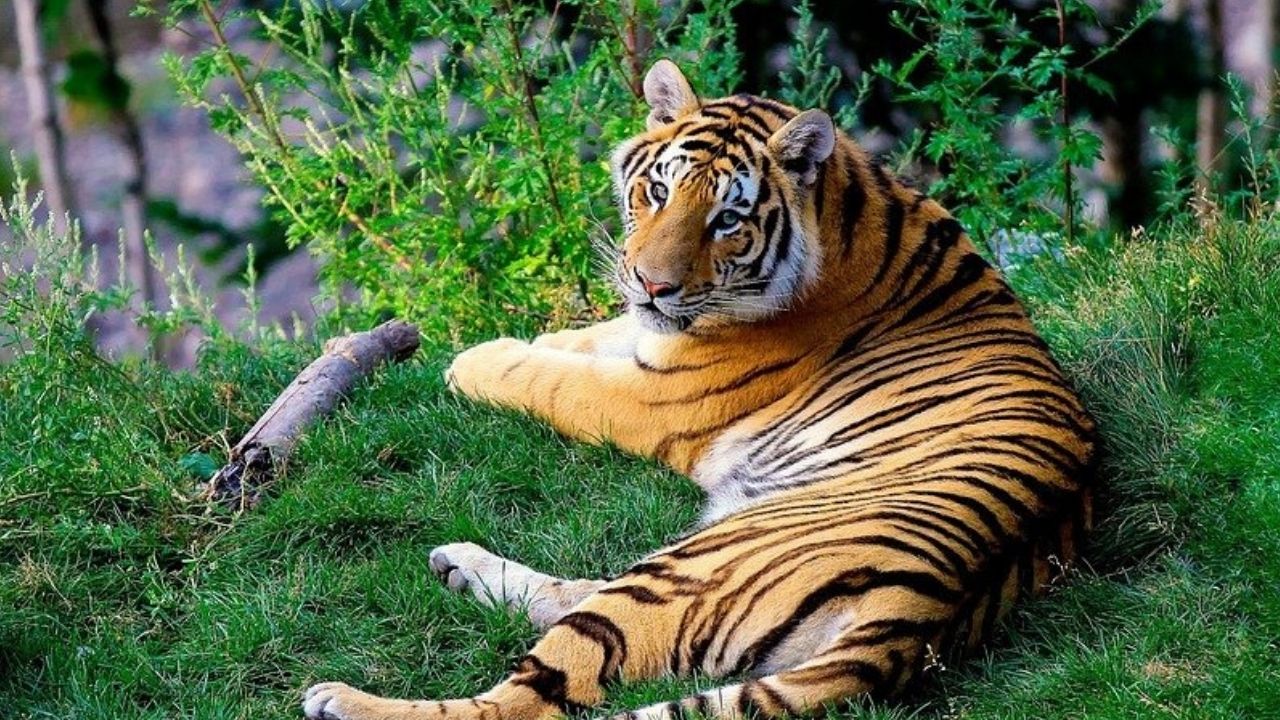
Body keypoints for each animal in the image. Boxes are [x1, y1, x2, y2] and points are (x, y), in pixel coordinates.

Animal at [303, 59, 1097, 720]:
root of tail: (919, 617)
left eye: (727, 220)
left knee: (530, 695)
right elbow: (587, 339)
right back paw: (459, 567)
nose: (652, 284)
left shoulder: (652, 397)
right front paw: (526, 339)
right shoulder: (651, 340)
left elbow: (553, 379)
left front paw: (474, 360)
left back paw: (342, 698)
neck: (847, 212)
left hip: (690, 568)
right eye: (657, 192)